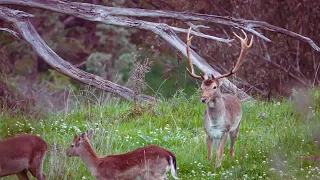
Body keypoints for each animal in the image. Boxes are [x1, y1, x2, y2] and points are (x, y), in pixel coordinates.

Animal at [186, 27, 254, 167]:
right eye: (201, 87)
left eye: (214, 87)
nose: (203, 99)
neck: (216, 124)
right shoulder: (208, 132)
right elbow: (210, 154)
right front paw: (209, 166)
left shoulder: (225, 131)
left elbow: (219, 154)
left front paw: (217, 167)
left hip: (236, 128)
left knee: (231, 148)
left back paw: (231, 161)